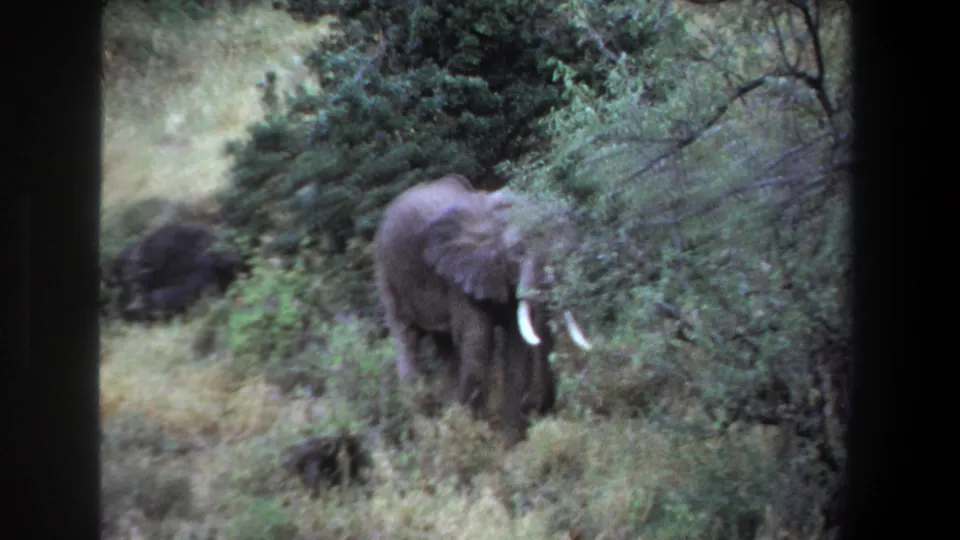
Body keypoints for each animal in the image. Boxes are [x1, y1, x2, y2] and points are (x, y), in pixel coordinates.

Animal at [373, 174, 593, 444]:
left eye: (566, 251)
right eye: (518, 252)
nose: (540, 409)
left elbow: (516, 349)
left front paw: (510, 443)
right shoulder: (459, 277)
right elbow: (478, 341)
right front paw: (475, 437)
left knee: (446, 347)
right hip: (387, 272)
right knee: (407, 338)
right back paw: (422, 430)